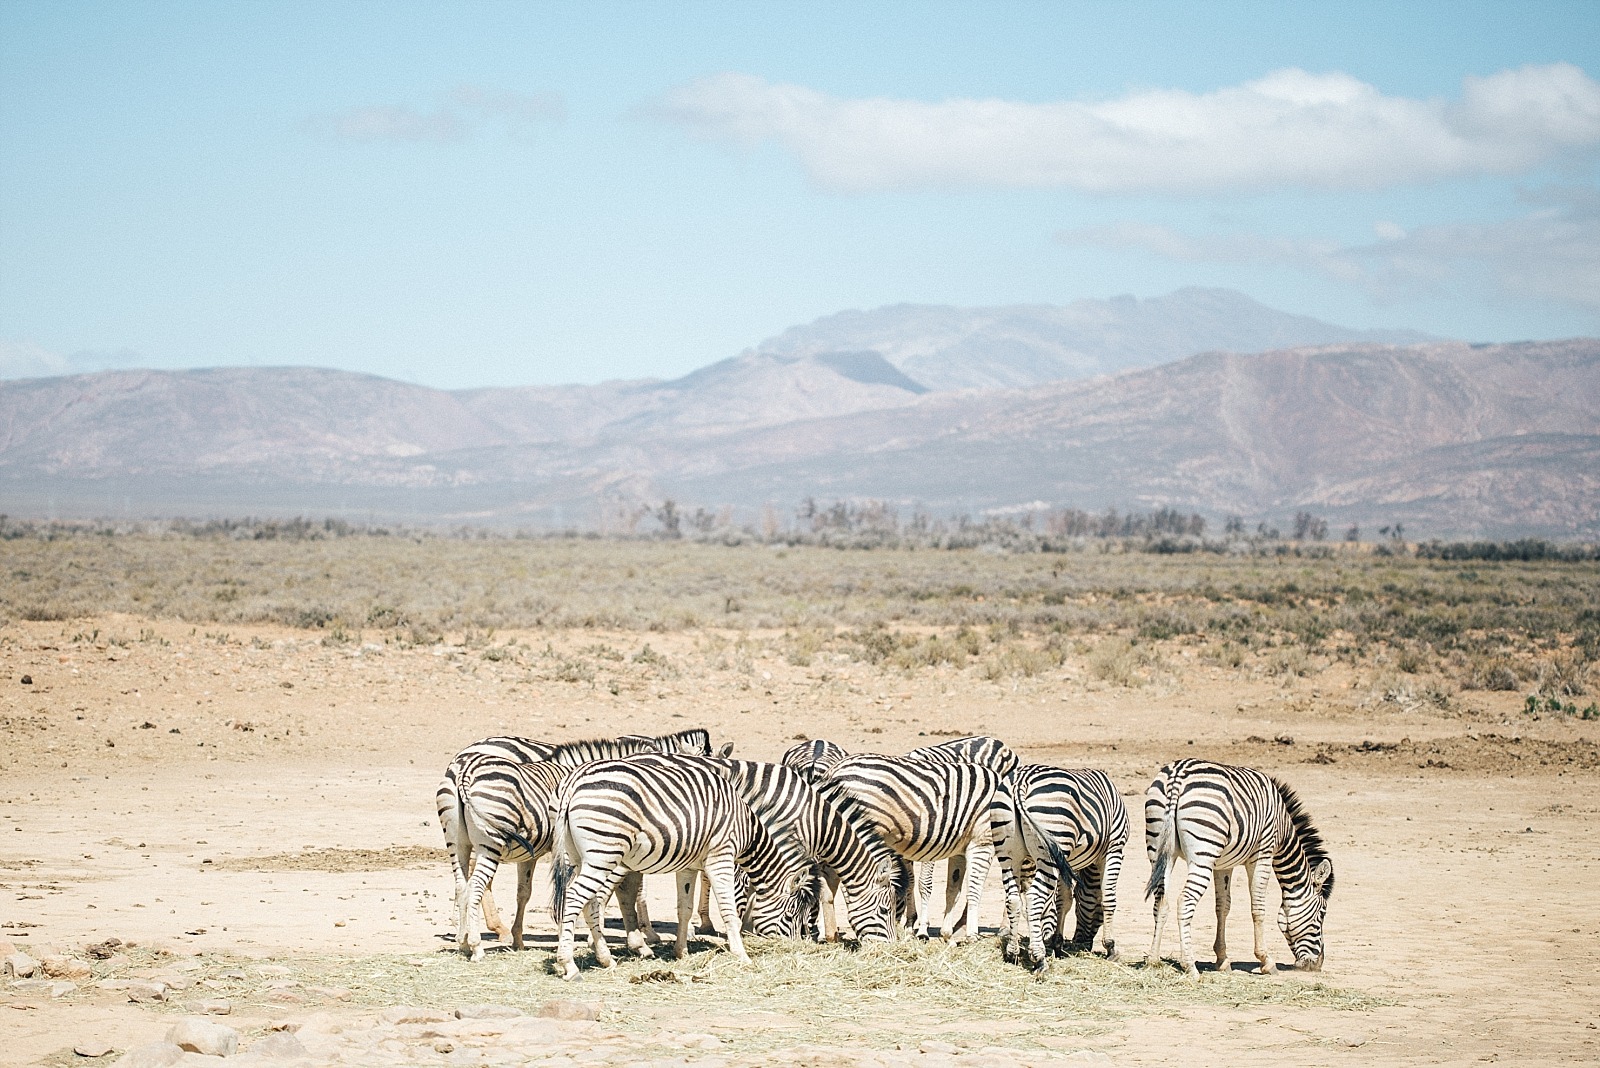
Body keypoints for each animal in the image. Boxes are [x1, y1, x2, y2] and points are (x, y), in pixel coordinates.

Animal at [435, 725, 716, 952]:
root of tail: (464, 762)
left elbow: (528, 892)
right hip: (489, 840)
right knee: (477, 882)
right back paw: (482, 935)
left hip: (459, 840)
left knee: (464, 883)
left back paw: (466, 936)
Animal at [550, 751, 812, 978]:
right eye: (790, 916)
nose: (797, 947)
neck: (745, 827)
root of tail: (574, 779)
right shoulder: (721, 856)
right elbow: (728, 910)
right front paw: (741, 955)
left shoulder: (688, 866)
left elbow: (684, 908)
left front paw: (681, 952)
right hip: (604, 850)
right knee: (575, 897)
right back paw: (569, 964)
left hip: (580, 856)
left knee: (590, 901)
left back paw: (605, 959)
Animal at [985, 767, 1126, 965]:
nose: (1080, 943)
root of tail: (1021, 780)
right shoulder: (1115, 847)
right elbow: (1108, 897)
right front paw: (1111, 947)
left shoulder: (1065, 862)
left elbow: (1063, 901)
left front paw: (1057, 945)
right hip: (1051, 846)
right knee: (1033, 897)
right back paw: (1039, 958)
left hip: (1008, 853)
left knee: (1013, 899)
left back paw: (1012, 953)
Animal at [1145, 757, 1331, 978]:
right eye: (1322, 914)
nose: (1318, 964)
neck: (1283, 830)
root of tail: (1177, 775)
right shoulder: (1262, 854)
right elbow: (1258, 908)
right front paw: (1266, 961)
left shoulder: (1223, 865)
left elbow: (1223, 907)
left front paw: (1223, 960)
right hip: (1203, 854)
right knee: (1184, 901)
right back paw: (1190, 966)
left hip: (1159, 850)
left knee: (1161, 902)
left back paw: (1153, 960)